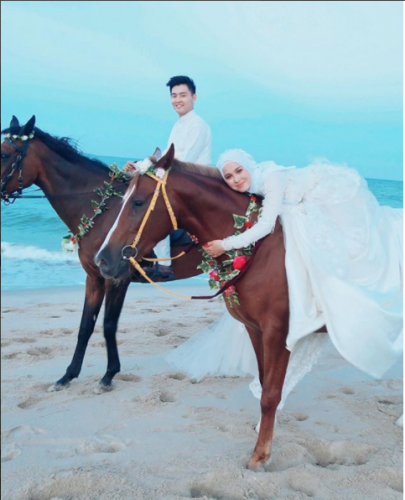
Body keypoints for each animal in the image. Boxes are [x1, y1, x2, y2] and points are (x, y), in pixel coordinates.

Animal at [1, 115, 203, 389]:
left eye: (3, 154)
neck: (101, 210)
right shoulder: (94, 277)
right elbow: (86, 326)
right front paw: (68, 375)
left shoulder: (117, 278)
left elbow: (108, 325)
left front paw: (109, 374)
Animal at [95, 144, 291, 470]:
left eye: (138, 202)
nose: (103, 260)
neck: (262, 249)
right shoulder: (255, 329)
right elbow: (265, 386)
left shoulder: (279, 332)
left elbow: (271, 394)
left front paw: (260, 455)